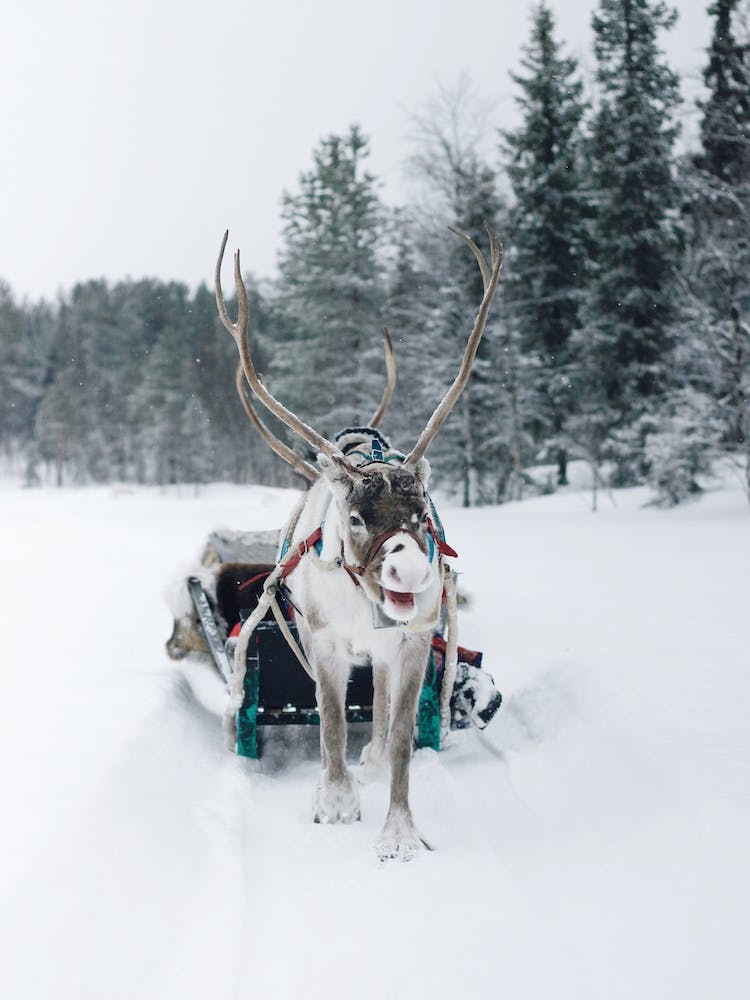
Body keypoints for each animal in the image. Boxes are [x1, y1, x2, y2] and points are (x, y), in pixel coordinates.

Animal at [215, 226, 503, 860]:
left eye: (420, 513)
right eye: (355, 517)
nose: (411, 574)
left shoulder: (413, 643)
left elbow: (398, 735)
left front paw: (399, 833)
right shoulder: (322, 642)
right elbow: (330, 724)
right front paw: (336, 803)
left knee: (383, 706)